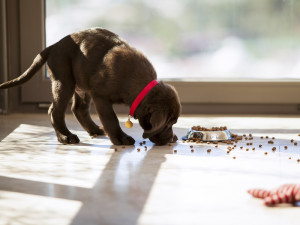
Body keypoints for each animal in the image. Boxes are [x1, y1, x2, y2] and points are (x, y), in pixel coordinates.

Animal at [0, 27, 180, 146]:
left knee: (78, 109)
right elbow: (111, 119)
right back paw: (65, 137)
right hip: (64, 81)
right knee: (55, 111)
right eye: (168, 124)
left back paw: (94, 130)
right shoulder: (101, 96)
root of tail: (53, 46)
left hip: (81, 85)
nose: (173, 138)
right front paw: (120, 138)